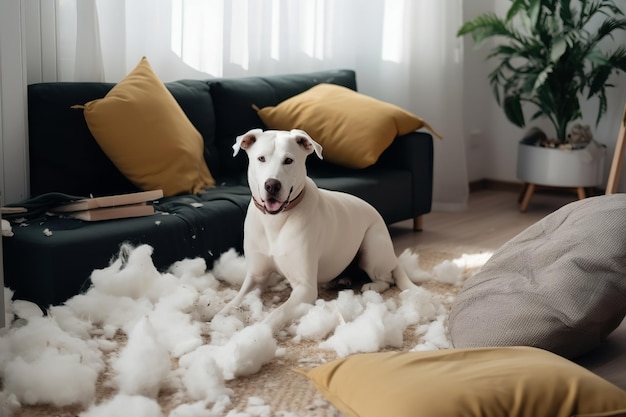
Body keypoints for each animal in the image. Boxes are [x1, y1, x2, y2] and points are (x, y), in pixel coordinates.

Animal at [217, 128, 416, 330]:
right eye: (261, 158)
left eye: (288, 160)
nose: (272, 185)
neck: (276, 220)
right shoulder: (257, 276)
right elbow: (236, 299)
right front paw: (219, 315)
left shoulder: (305, 287)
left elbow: (278, 313)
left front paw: (255, 332)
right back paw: (343, 279)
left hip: (371, 249)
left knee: (387, 279)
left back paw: (371, 286)